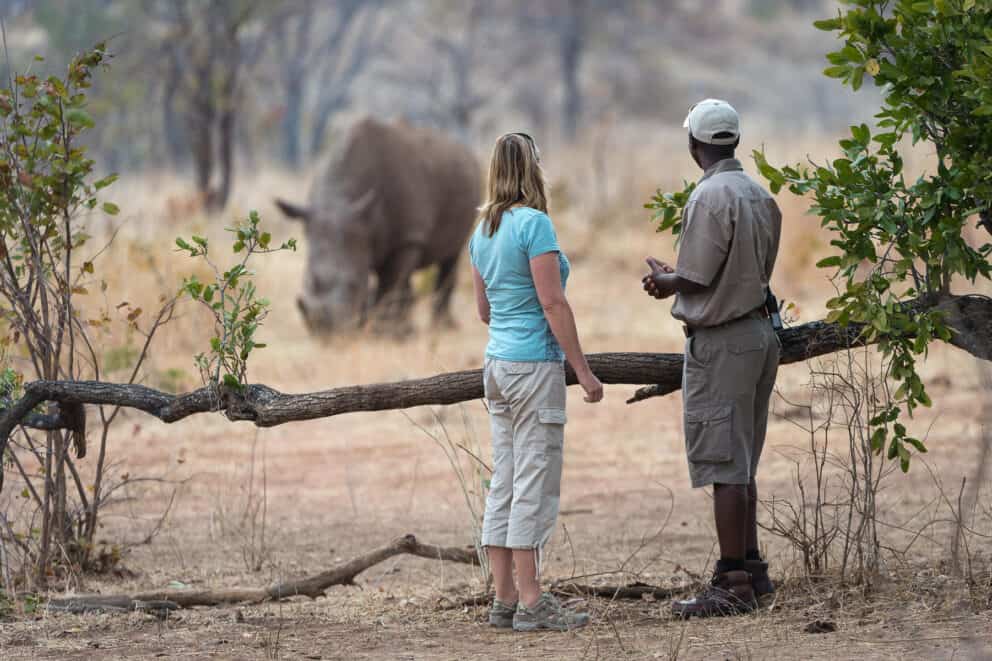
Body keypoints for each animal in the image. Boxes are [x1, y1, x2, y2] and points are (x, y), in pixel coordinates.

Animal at [276, 117, 481, 335]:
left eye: (354, 284)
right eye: (310, 281)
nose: (326, 332)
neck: (340, 199)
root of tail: (464, 148)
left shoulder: (408, 238)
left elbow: (390, 283)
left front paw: (385, 332)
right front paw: (381, 329)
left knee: (450, 257)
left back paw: (442, 328)